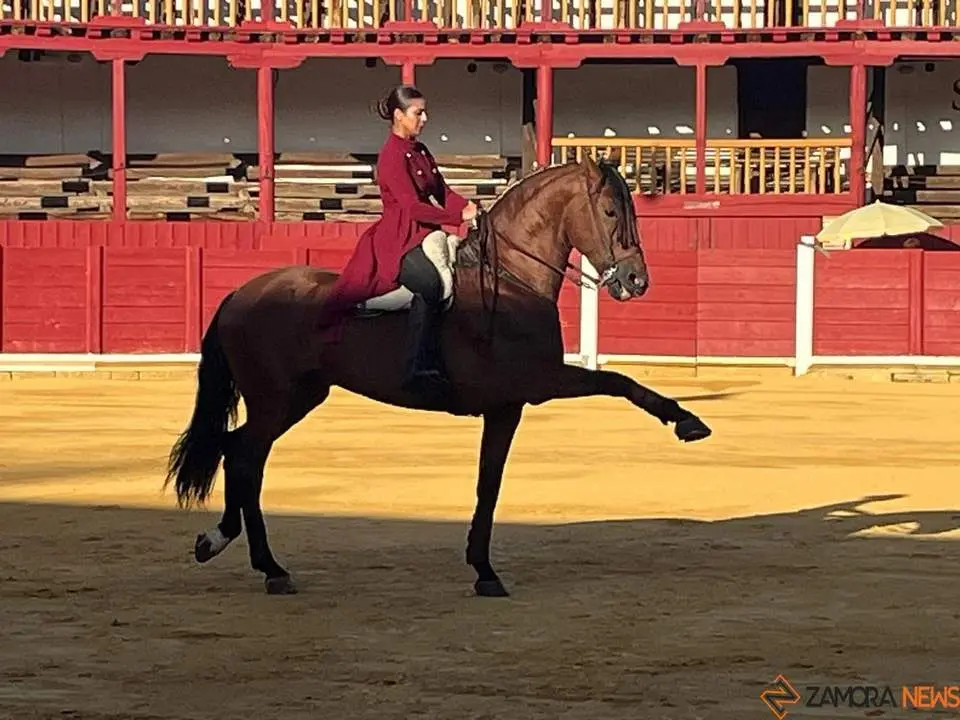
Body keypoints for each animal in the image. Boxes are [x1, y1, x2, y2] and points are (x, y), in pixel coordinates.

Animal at [164, 153, 712, 597]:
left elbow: (489, 481)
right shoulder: (539, 383)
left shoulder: (506, 407)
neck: (512, 278)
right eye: (611, 212)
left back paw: (230, 547)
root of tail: (238, 295)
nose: (637, 280)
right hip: (278, 400)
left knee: (239, 452)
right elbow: (618, 383)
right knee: (243, 457)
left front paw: (482, 569)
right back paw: (266, 565)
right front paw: (686, 421)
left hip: (297, 398)